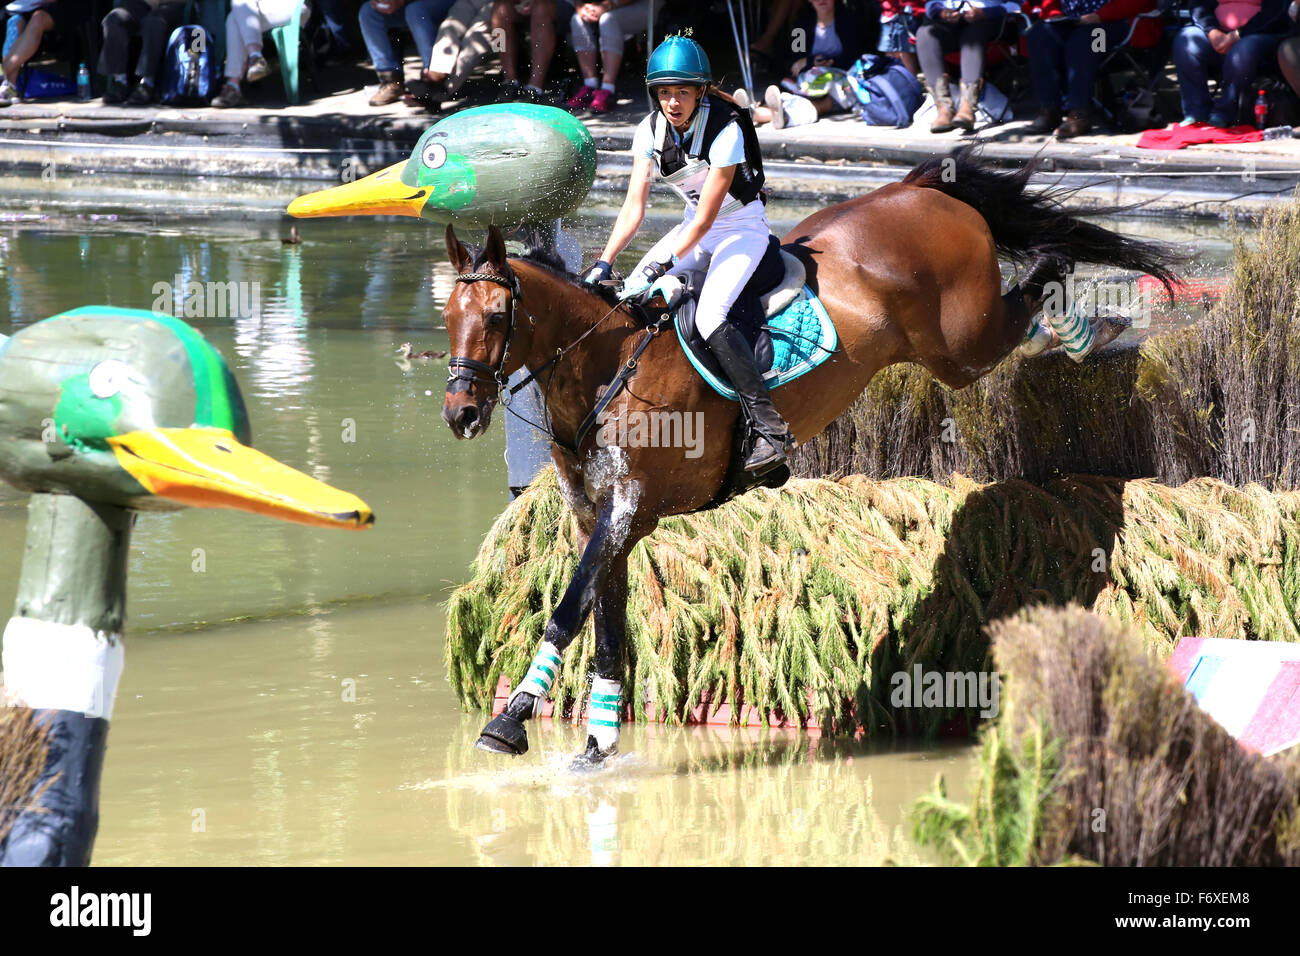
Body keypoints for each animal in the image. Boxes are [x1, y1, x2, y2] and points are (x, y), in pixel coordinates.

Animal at [441, 147, 1185, 764]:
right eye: (449, 316)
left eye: (498, 318)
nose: (461, 414)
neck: (606, 369)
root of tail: (917, 191)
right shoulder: (599, 516)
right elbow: (605, 625)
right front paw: (596, 747)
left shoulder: (632, 508)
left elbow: (570, 608)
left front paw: (509, 721)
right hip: (953, 347)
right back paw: (1087, 334)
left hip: (962, 340)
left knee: (1037, 279)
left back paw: (1089, 327)